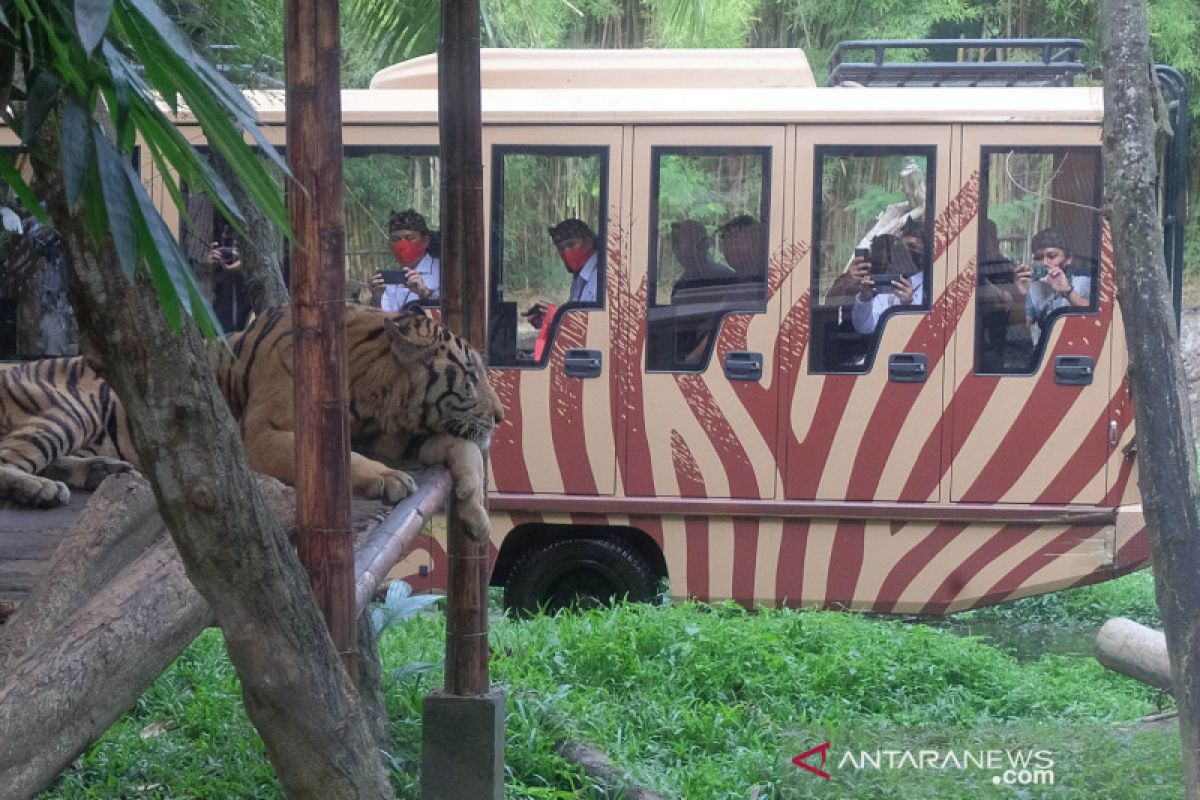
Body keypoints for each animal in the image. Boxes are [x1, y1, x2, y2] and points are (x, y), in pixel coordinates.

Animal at [0, 303, 504, 542]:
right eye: (471, 376)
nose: (500, 417)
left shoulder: (394, 436)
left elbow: (462, 449)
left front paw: (476, 516)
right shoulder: (262, 436)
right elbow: (345, 457)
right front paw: (389, 479)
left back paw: (102, 470)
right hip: (71, 411)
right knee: (12, 457)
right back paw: (39, 489)